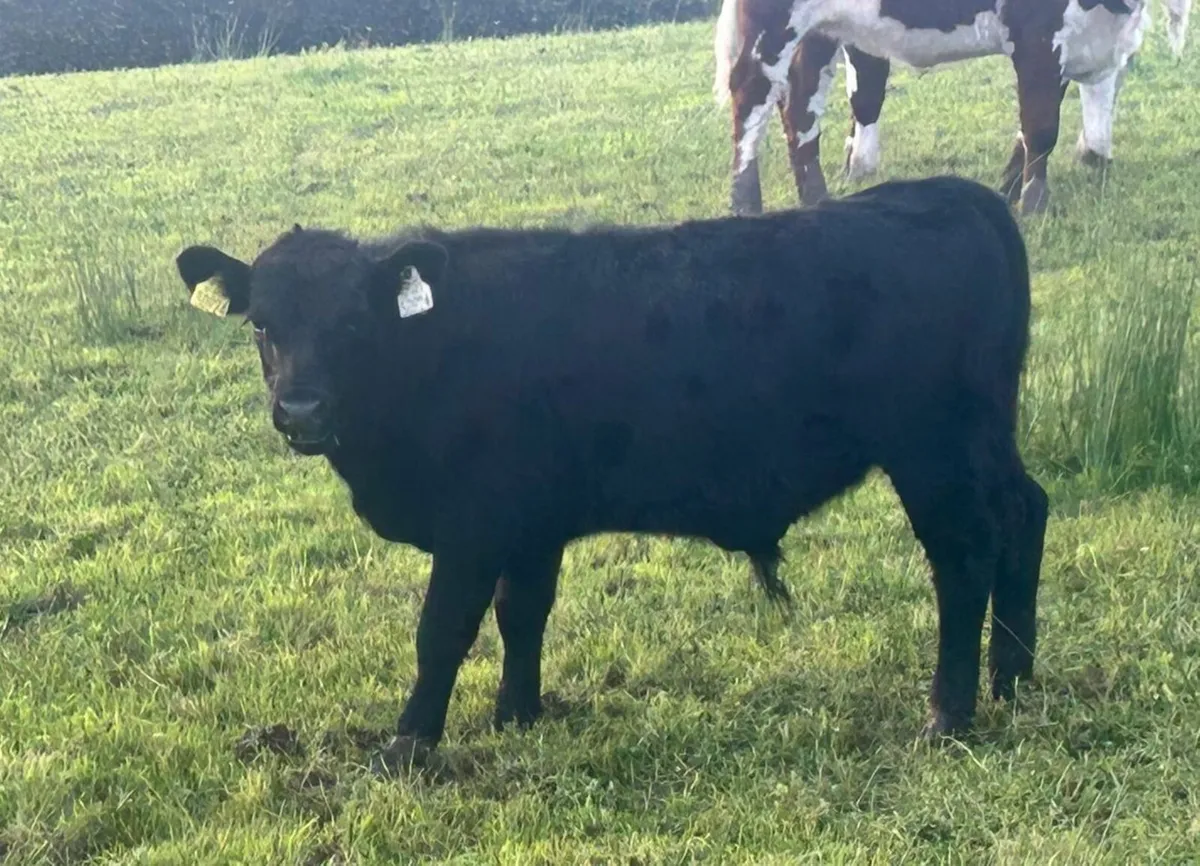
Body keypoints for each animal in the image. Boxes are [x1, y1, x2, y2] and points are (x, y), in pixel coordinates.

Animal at [175, 175, 1047, 772]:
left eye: (355, 323)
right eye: (263, 325)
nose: (301, 411)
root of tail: (948, 191)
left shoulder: (473, 527)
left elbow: (441, 632)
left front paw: (409, 746)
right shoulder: (530, 524)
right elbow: (522, 614)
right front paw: (517, 716)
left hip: (935, 453)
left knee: (964, 557)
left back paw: (948, 714)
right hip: (984, 445)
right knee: (1025, 515)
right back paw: (1013, 678)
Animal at [713, 0, 1193, 216]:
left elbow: (1037, 123)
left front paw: (1008, 186)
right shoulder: (1037, 32)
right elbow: (1041, 126)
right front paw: (1033, 204)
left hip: (821, 28)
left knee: (801, 106)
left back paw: (816, 198)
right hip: (772, 25)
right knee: (751, 97)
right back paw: (745, 202)